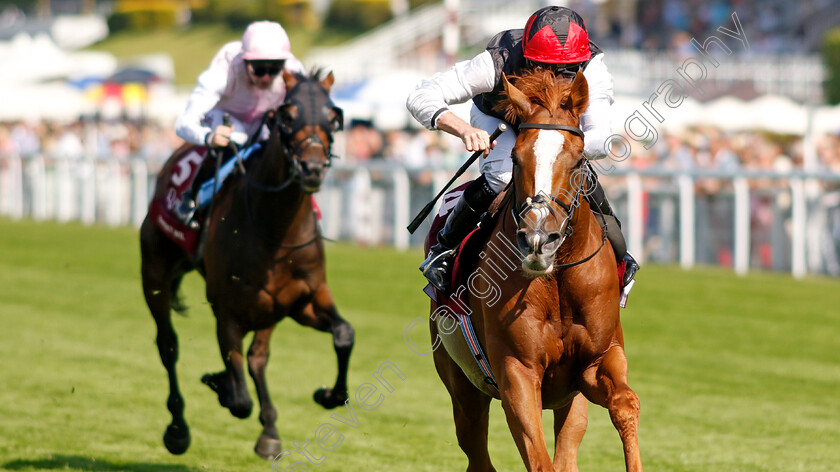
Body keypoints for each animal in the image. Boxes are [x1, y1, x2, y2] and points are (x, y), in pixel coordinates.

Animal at [139, 69, 352, 458]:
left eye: (333, 117)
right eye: (287, 115)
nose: (312, 168)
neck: (275, 231)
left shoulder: (304, 298)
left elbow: (344, 334)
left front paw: (329, 394)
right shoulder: (227, 309)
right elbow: (239, 398)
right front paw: (221, 385)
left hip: (269, 307)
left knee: (257, 357)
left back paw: (269, 431)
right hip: (155, 272)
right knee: (168, 345)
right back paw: (177, 428)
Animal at [434, 70, 644, 472]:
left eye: (578, 160)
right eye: (516, 158)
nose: (538, 239)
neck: (557, 276)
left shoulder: (595, 362)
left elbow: (625, 403)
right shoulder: (517, 372)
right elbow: (538, 457)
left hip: (568, 403)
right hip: (461, 383)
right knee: (477, 452)